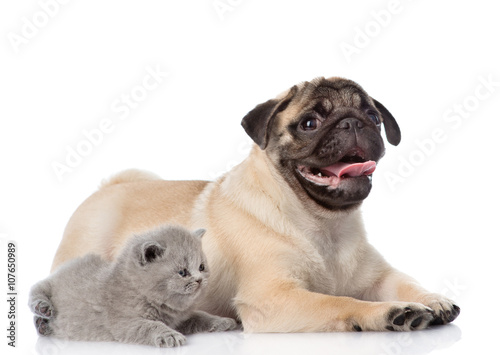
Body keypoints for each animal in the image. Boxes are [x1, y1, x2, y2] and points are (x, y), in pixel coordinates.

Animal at [28, 227, 239, 350]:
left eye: (201, 267)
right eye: (183, 272)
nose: (199, 280)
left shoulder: (180, 319)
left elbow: (200, 315)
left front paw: (222, 321)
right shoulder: (125, 323)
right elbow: (149, 325)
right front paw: (169, 336)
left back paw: (42, 325)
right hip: (51, 283)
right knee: (36, 289)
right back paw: (43, 310)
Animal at [51, 76, 460, 332]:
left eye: (373, 117)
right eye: (309, 123)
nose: (353, 122)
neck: (324, 225)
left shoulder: (378, 277)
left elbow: (404, 281)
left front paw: (433, 299)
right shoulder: (273, 299)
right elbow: (340, 303)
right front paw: (390, 313)